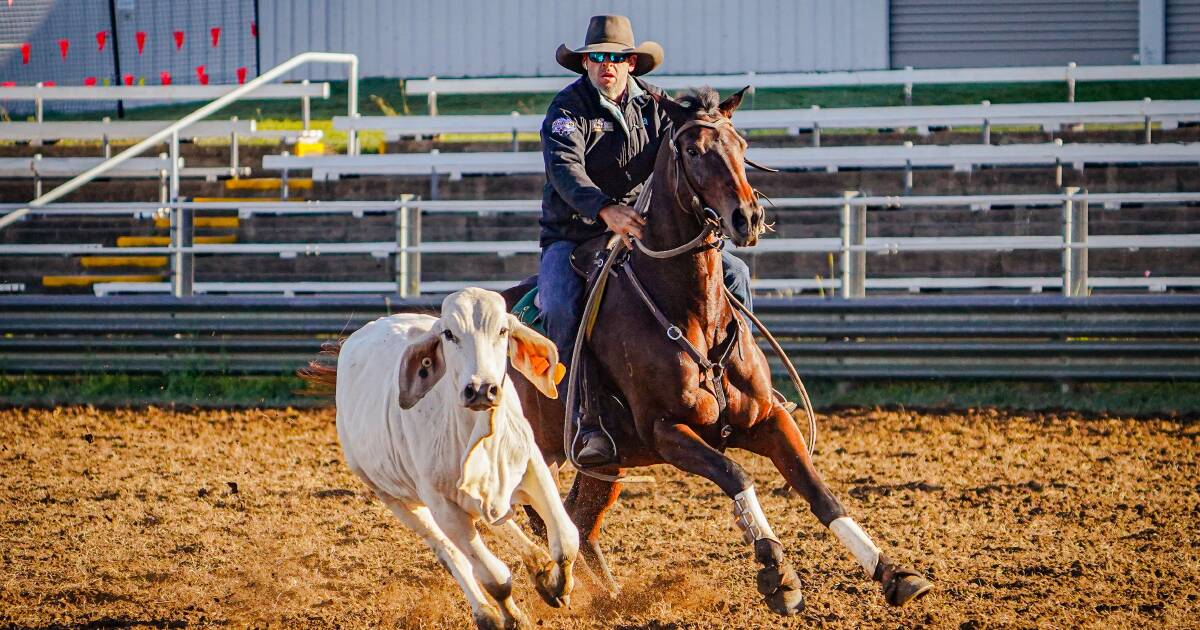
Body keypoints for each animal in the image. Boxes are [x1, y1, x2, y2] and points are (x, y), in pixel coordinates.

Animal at [331, 286, 573, 624]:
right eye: (448, 334)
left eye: (502, 330)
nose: (482, 389)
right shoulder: (442, 505)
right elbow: (494, 578)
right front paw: (512, 617)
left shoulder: (531, 467)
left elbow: (566, 539)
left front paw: (557, 584)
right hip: (394, 498)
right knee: (448, 551)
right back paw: (486, 613)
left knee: (497, 521)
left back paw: (538, 565)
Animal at [501, 85, 931, 612]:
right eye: (691, 150)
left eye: (742, 145)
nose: (748, 217)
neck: (688, 311)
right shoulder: (667, 431)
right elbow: (735, 474)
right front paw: (777, 573)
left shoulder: (769, 419)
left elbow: (818, 491)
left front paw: (893, 572)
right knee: (540, 516)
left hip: (607, 466)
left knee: (576, 518)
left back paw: (605, 592)